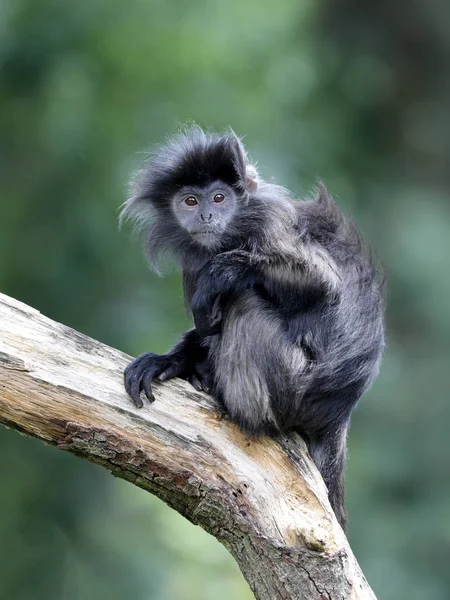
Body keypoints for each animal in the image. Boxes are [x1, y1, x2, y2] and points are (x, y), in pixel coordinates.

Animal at [121, 126, 384, 528]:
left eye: (219, 197)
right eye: (190, 202)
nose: (207, 214)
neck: (232, 235)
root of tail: (338, 413)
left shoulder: (271, 223)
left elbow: (323, 284)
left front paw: (223, 272)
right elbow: (205, 328)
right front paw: (169, 361)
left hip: (293, 384)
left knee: (243, 301)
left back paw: (228, 397)